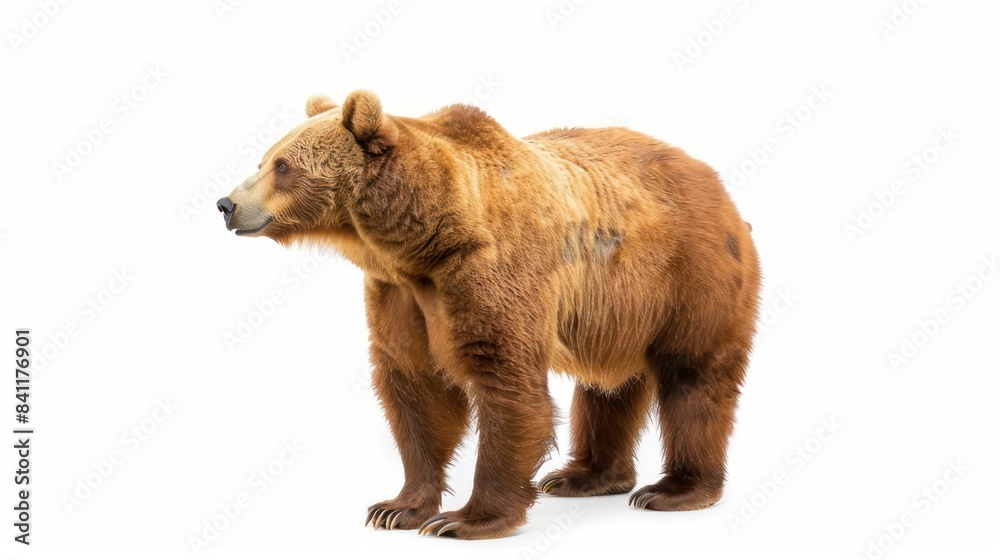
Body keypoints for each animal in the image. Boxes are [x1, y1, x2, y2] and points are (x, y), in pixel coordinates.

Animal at [217, 90, 760, 540]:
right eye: (264, 158)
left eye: (282, 165)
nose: (226, 203)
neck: (422, 241)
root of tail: (714, 180)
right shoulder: (399, 293)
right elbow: (415, 383)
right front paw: (396, 507)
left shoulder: (490, 273)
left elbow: (505, 383)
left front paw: (464, 519)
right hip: (616, 309)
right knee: (608, 387)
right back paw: (585, 476)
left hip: (691, 275)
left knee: (694, 376)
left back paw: (674, 490)